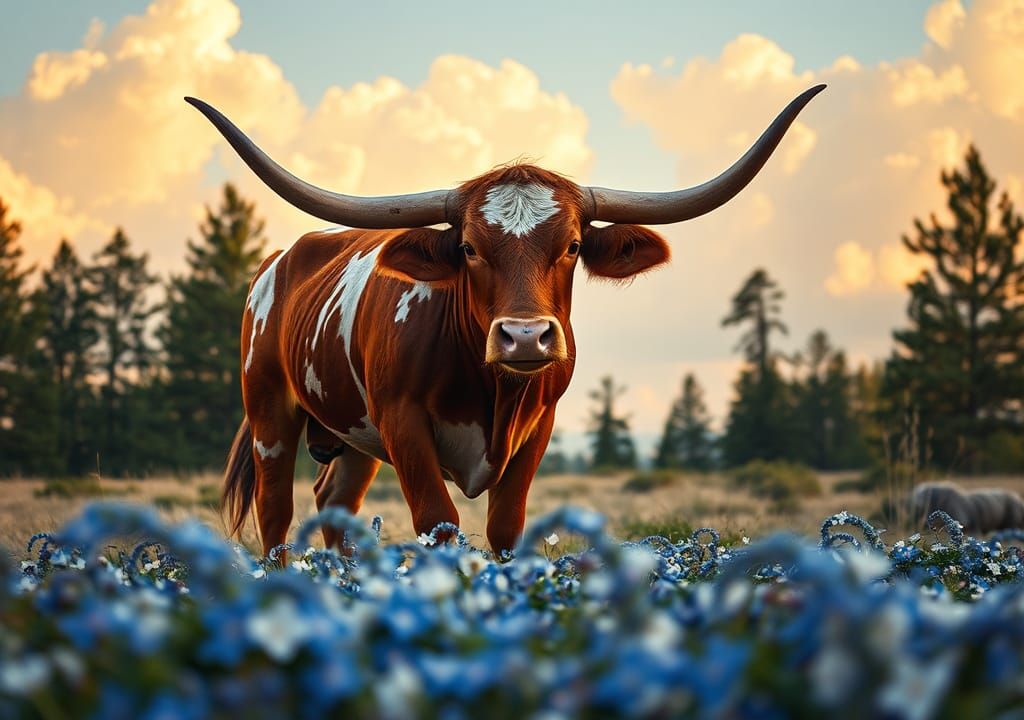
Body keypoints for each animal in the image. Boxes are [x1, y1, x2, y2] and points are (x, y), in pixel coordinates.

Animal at [186, 84, 825, 556]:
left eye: (572, 246)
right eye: (469, 247)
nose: (523, 337)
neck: (489, 386)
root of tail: (282, 258)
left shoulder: (538, 428)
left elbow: (506, 528)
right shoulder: (402, 423)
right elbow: (438, 522)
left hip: (350, 438)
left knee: (334, 503)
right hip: (269, 408)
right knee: (276, 510)